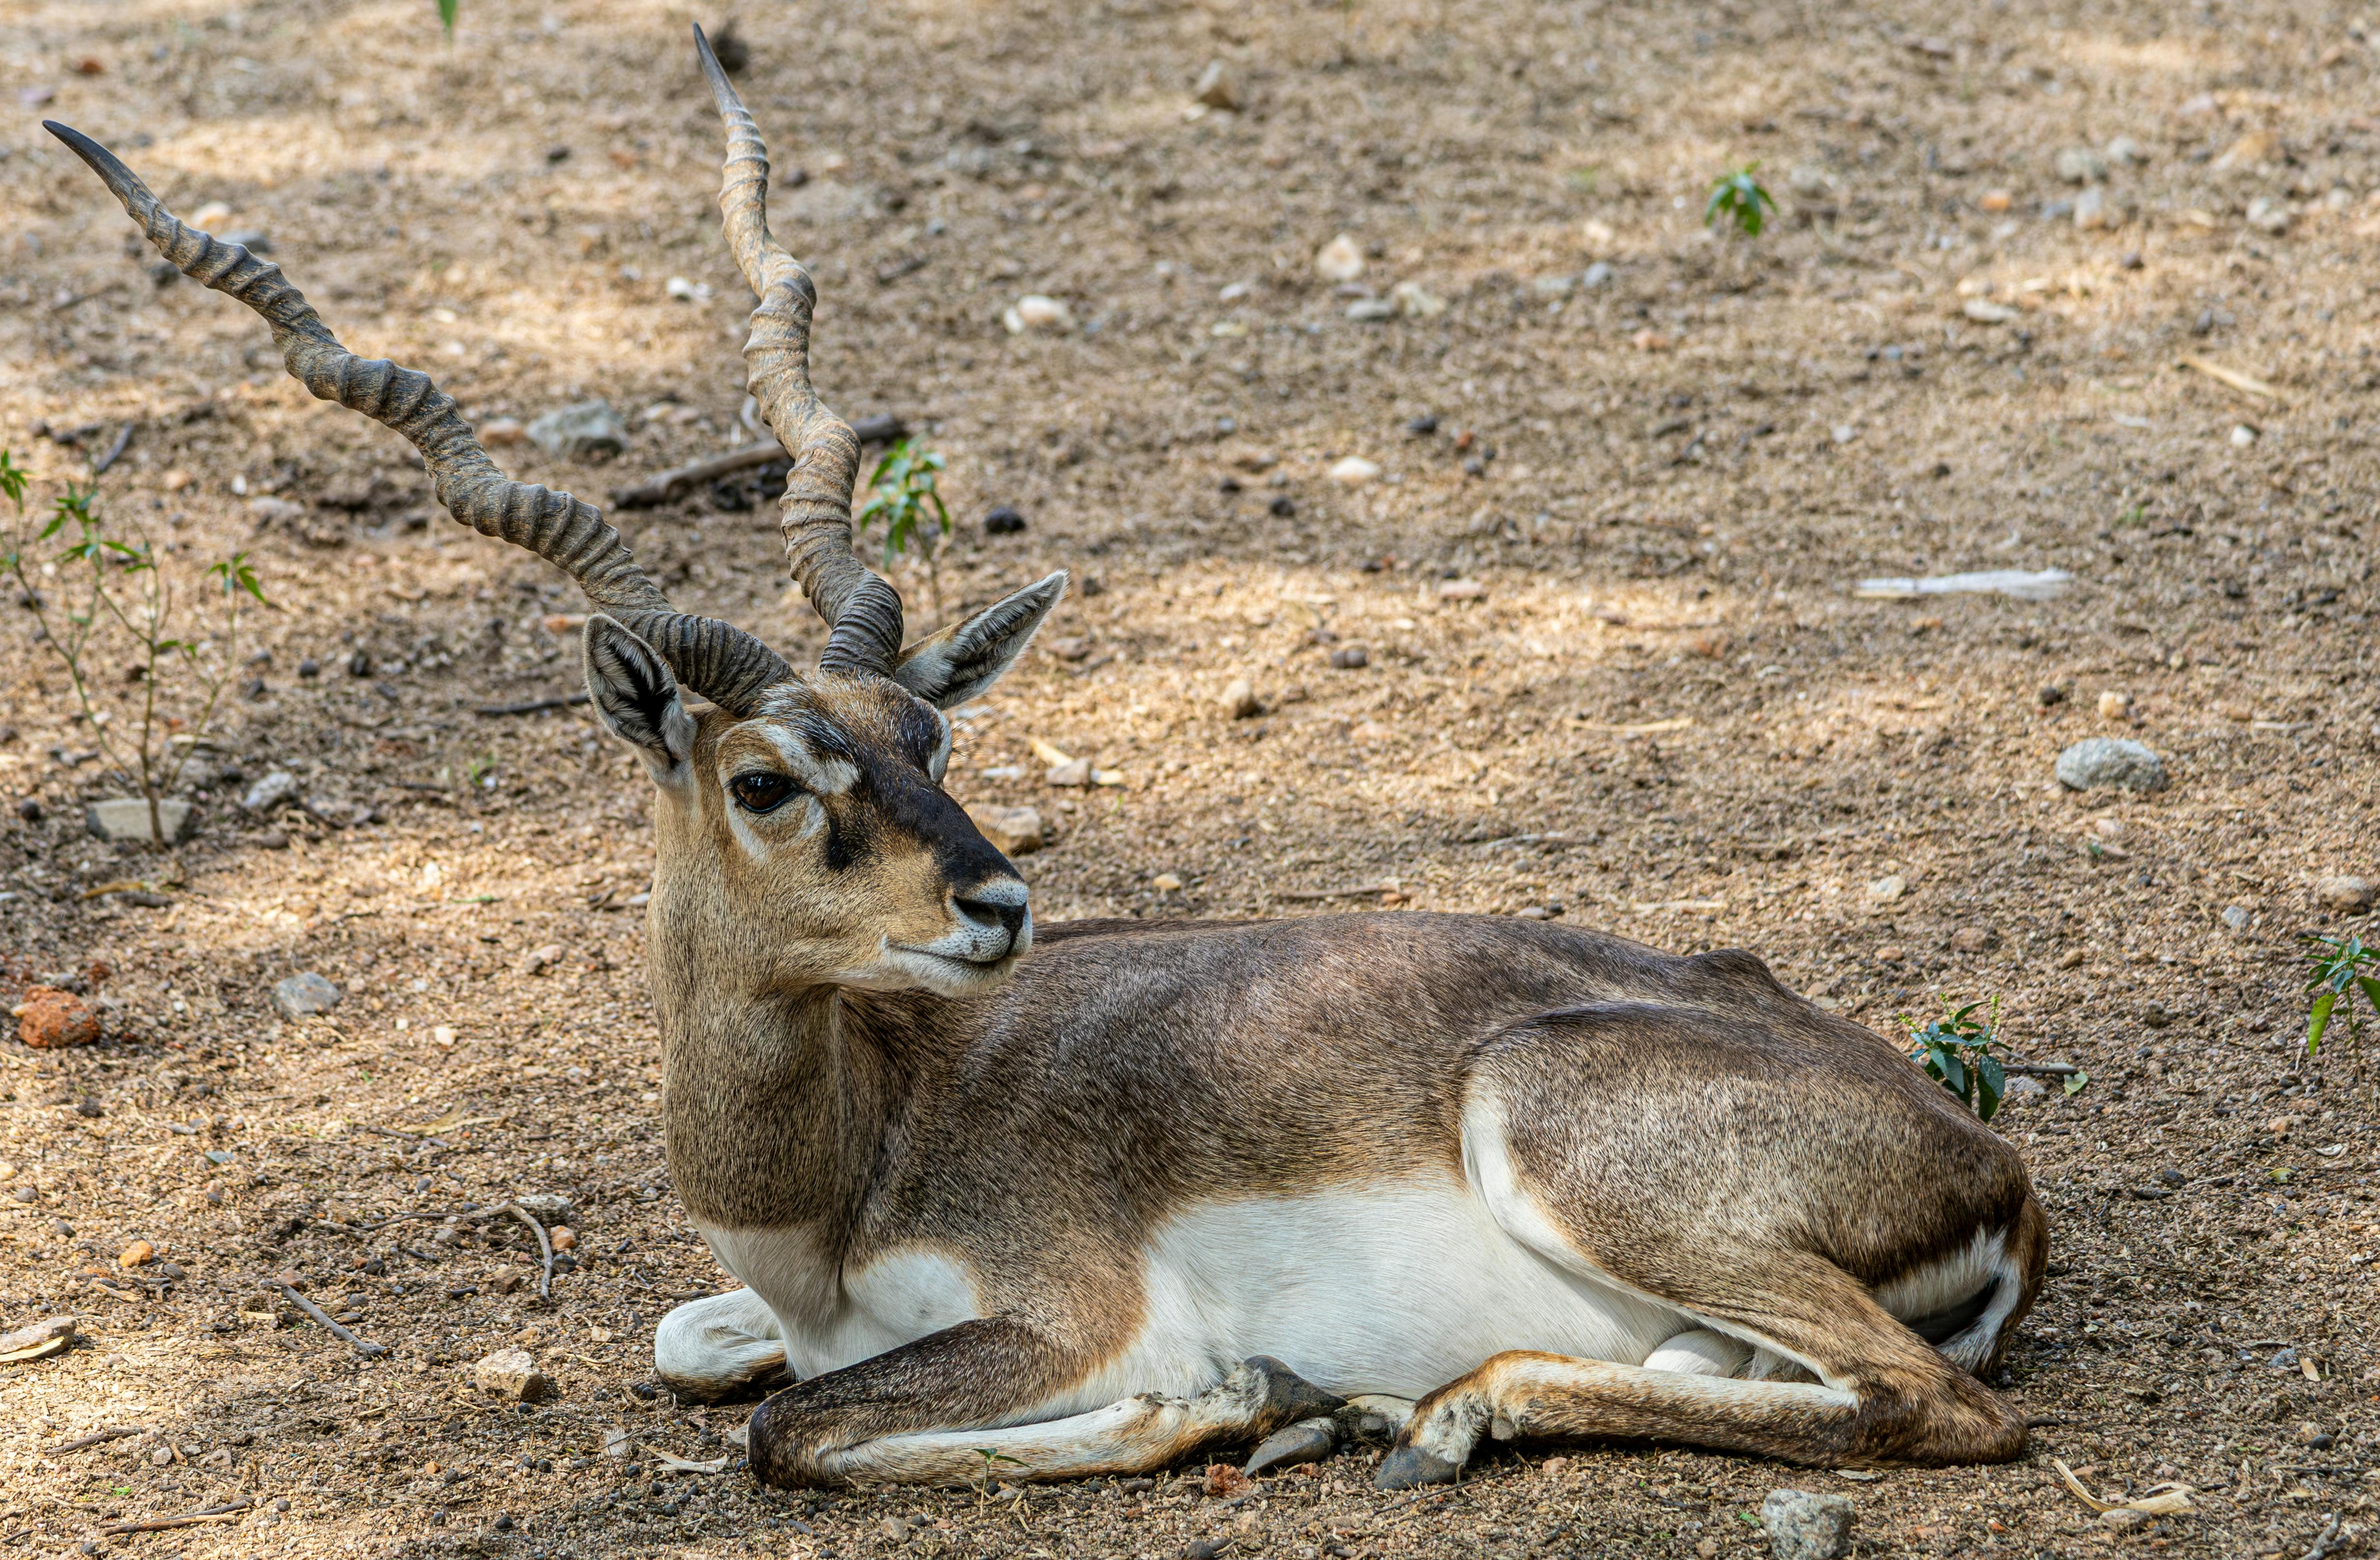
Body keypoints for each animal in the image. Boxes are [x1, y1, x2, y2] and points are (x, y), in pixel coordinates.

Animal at [46, 33, 2045, 1492]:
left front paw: (1229, 1398)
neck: (834, 1167)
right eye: (770, 773)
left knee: (1925, 1401)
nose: (996, 901)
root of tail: (1980, 1156)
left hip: (1553, 1131)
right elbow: (704, 1355)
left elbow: (796, 1430)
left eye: (928, 732)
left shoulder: (1056, 1308)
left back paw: (1417, 1409)